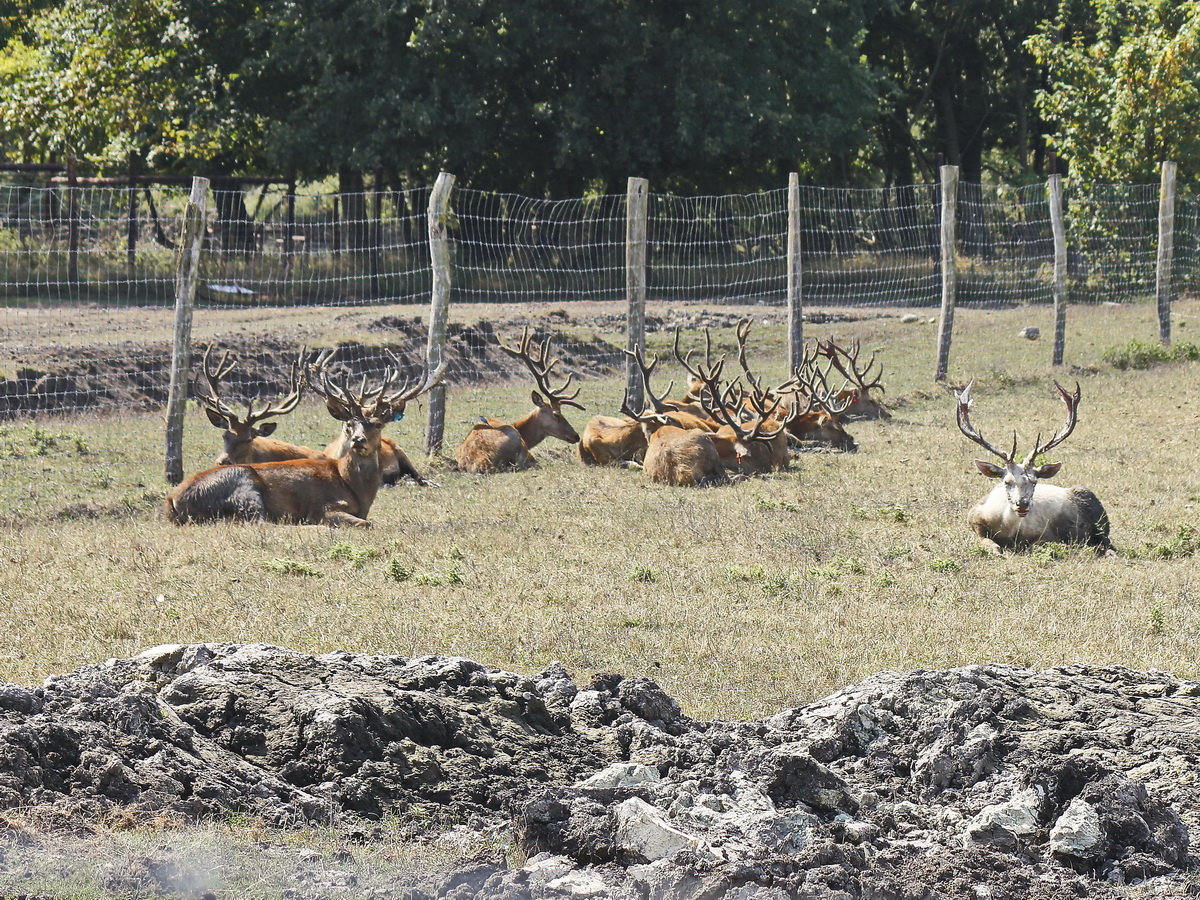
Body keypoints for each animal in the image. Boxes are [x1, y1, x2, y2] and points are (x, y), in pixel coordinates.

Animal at [955, 381, 1113, 556]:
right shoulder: (975, 521)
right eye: (1006, 482)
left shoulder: (1046, 534)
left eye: (1035, 482)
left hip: (1099, 520)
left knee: (1107, 543)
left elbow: (1035, 545)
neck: (1009, 530)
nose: (1022, 504)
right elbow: (992, 545)